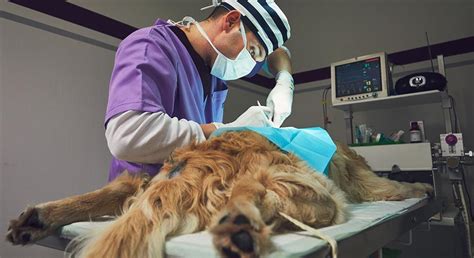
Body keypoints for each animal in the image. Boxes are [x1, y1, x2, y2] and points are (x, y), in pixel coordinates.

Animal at [5, 131, 434, 258]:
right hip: (312, 185)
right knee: (260, 192)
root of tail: (195, 161)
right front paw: (420, 186)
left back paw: (37, 218)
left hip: (142, 183)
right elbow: (388, 185)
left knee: (120, 186)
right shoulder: (357, 178)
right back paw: (240, 226)